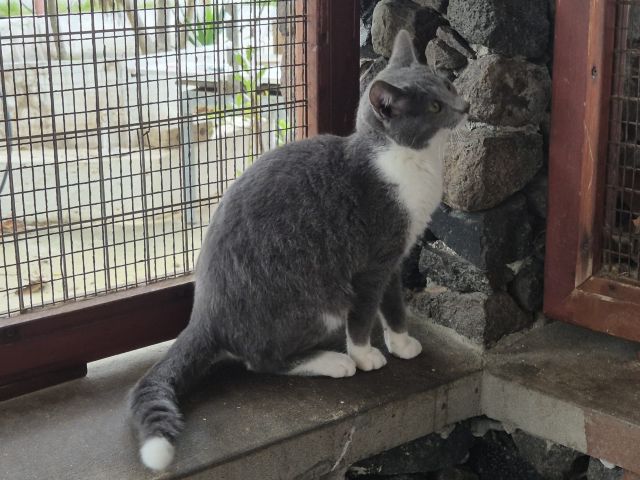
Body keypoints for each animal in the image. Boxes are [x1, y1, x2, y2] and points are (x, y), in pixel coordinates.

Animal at [129, 29, 469, 471]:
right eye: (434, 106)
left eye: (447, 86)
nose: (464, 105)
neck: (407, 161)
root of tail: (203, 316)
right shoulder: (370, 263)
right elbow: (364, 314)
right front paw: (366, 355)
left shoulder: (394, 257)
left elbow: (394, 304)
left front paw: (401, 343)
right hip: (319, 302)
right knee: (261, 361)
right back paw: (334, 362)